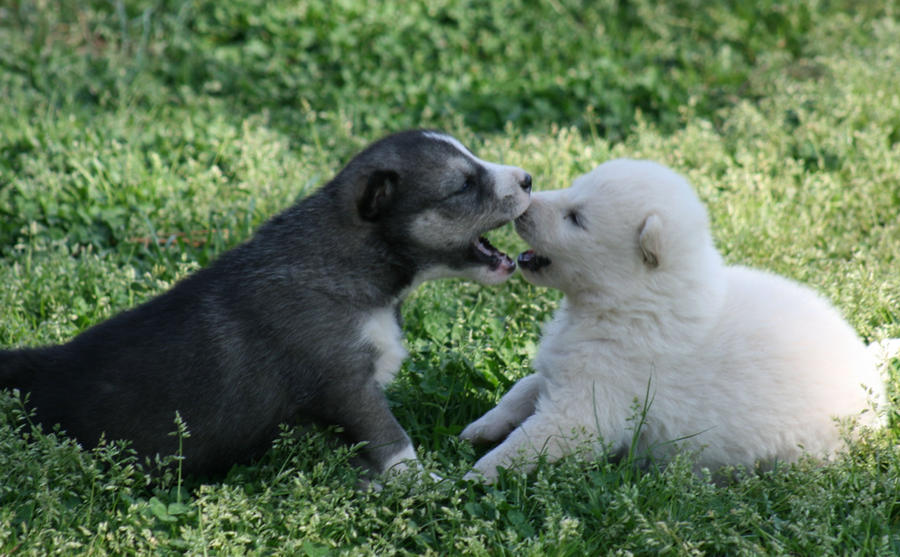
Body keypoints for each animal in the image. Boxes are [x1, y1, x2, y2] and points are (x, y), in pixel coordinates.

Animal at [0, 129, 532, 474]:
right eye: (463, 185)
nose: (528, 178)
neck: (356, 268)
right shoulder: (346, 386)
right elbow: (394, 444)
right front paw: (429, 486)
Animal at [460, 159, 888, 480]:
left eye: (576, 218)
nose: (525, 203)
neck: (630, 302)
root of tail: (873, 376)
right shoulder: (561, 371)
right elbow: (522, 390)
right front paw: (478, 428)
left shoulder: (585, 405)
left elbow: (529, 441)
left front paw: (476, 475)